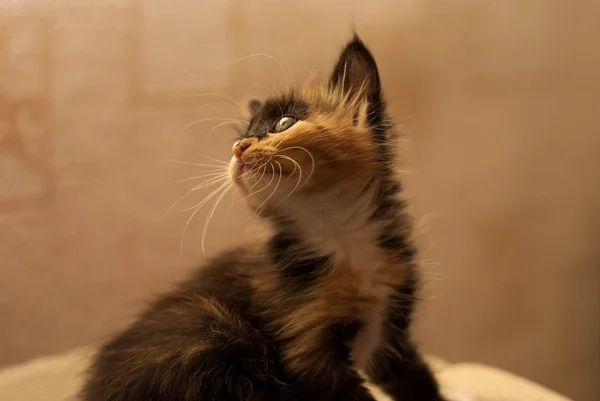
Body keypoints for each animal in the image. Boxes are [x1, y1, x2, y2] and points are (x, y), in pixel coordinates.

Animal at [82, 35, 442, 400]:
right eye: (242, 135)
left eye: (283, 123)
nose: (238, 148)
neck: (341, 236)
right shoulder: (308, 349)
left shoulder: (390, 332)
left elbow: (420, 382)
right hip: (211, 327)